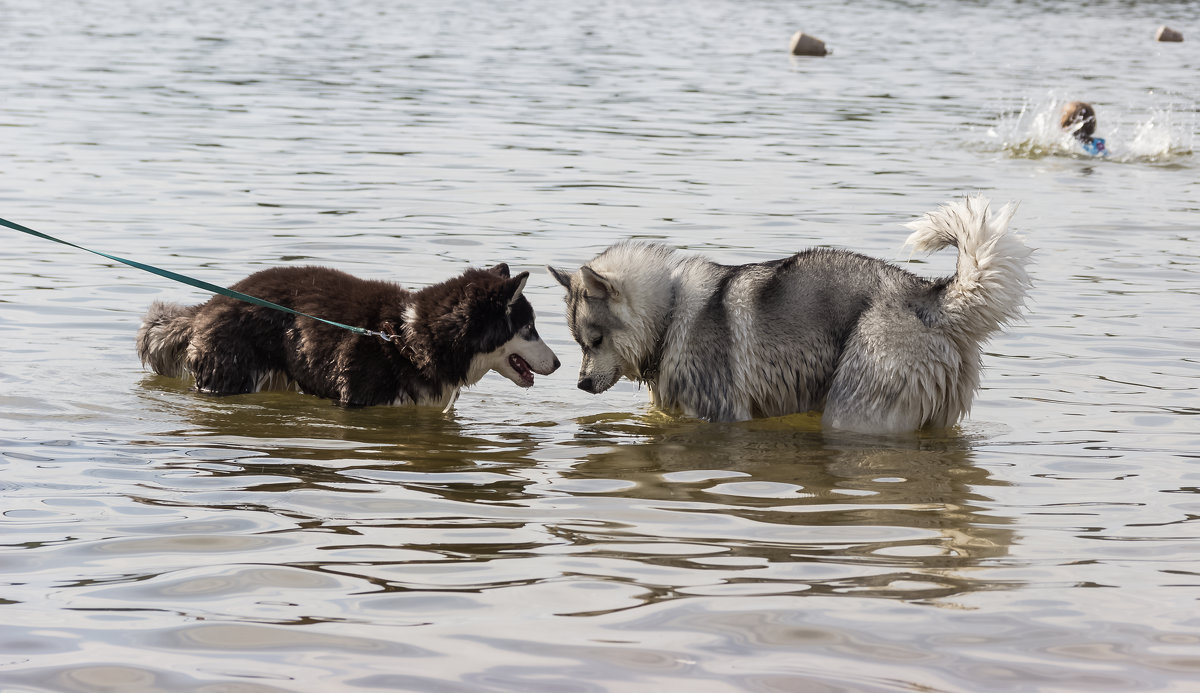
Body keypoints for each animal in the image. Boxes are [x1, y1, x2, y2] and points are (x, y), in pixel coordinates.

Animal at [549, 194, 1027, 431]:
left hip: (853, 412)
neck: (669, 313)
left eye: (595, 340)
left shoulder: (724, 414)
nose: (581, 383)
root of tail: (928, 294)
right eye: (579, 343)